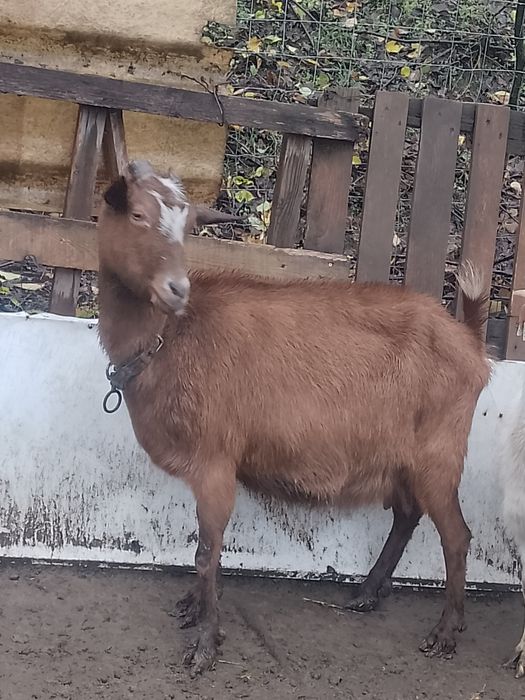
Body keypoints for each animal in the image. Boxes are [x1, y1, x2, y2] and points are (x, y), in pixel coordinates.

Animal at [96, 160, 490, 676]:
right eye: (137, 215)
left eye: (188, 228)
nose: (176, 289)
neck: (170, 340)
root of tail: (471, 342)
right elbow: (206, 549)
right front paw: (193, 610)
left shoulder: (216, 463)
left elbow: (207, 552)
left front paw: (205, 643)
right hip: (403, 459)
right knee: (407, 516)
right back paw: (367, 593)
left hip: (438, 456)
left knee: (457, 536)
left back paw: (445, 632)